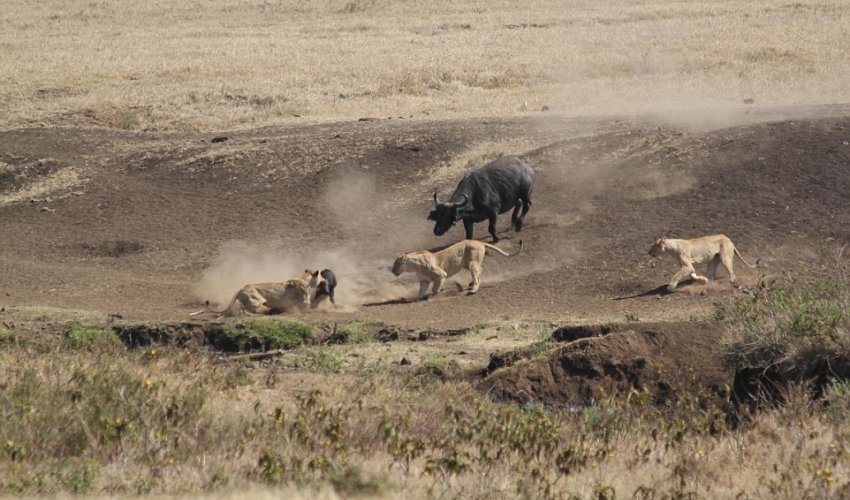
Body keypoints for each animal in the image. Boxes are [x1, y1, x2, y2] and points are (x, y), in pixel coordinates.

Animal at [392, 239, 523, 300]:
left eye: (396, 264)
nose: (392, 271)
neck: (414, 266)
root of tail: (479, 241)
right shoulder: (424, 281)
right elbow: (421, 291)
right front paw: (419, 298)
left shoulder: (441, 274)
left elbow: (435, 288)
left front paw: (434, 296)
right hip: (467, 264)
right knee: (479, 272)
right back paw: (470, 284)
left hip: (472, 262)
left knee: (477, 276)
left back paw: (473, 289)